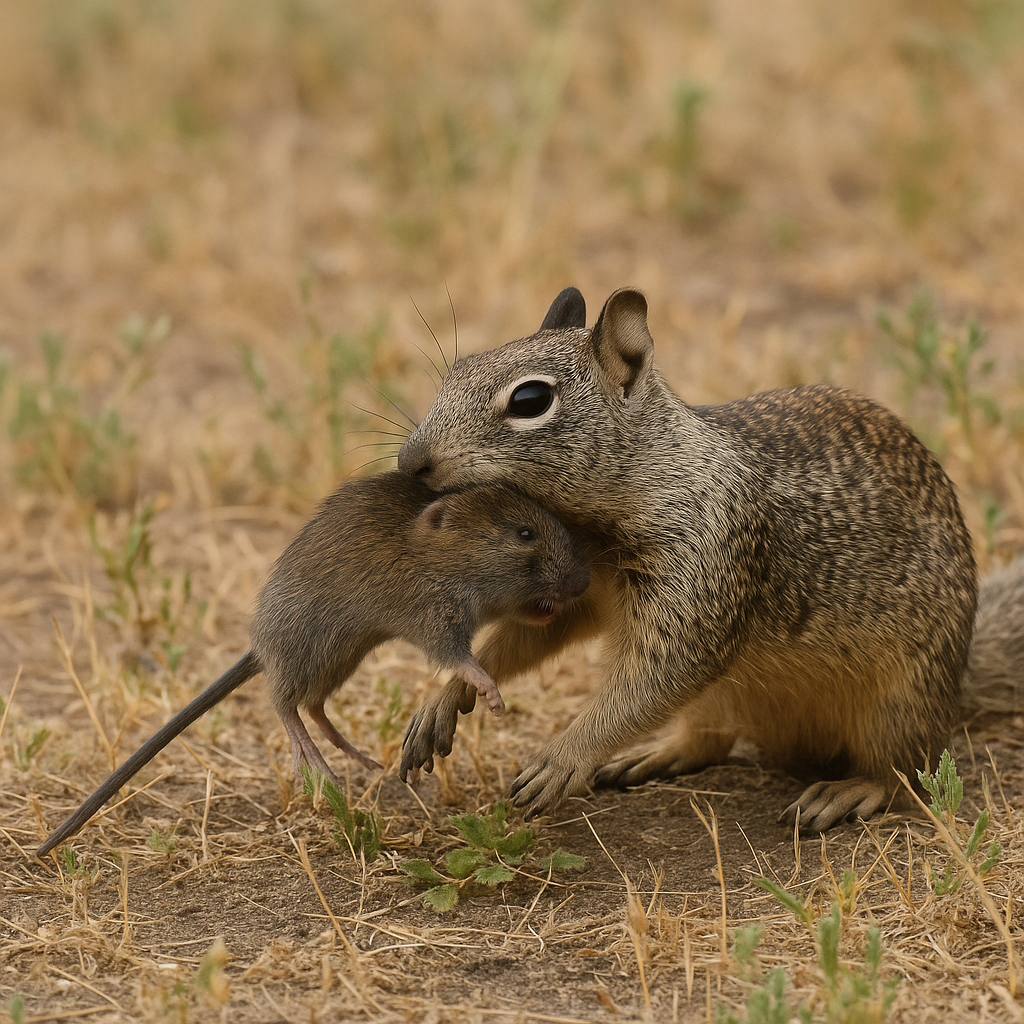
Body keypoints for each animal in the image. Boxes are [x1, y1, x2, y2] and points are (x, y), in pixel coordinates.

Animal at [398, 285, 1023, 832]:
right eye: (455, 372)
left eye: (530, 400)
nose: (410, 462)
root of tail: (956, 683)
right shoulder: (573, 588)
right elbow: (526, 638)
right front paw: (445, 699)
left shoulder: (707, 562)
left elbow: (657, 677)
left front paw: (565, 756)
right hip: (723, 698)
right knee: (711, 740)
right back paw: (653, 755)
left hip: (899, 702)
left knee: (905, 772)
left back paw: (849, 791)